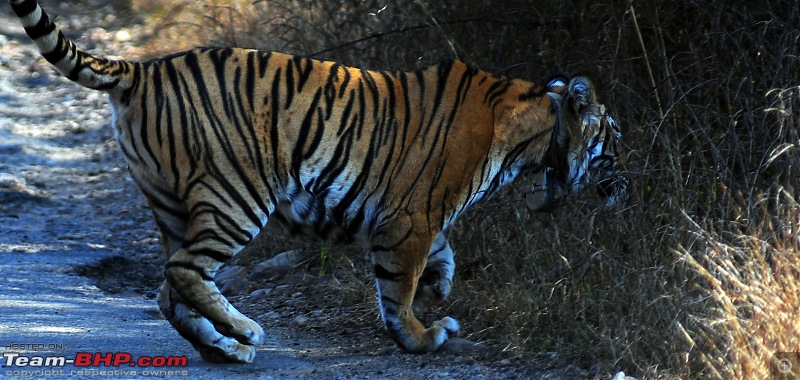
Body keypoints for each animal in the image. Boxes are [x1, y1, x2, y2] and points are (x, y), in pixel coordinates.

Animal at [9, 0, 628, 364]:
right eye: (614, 137)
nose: (626, 182)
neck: (531, 134)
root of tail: (144, 68)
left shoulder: (413, 216)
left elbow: (440, 259)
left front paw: (438, 289)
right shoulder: (412, 216)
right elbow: (397, 288)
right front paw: (422, 334)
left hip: (171, 204)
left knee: (167, 290)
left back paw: (225, 348)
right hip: (237, 195)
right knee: (184, 272)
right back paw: (246, 331)